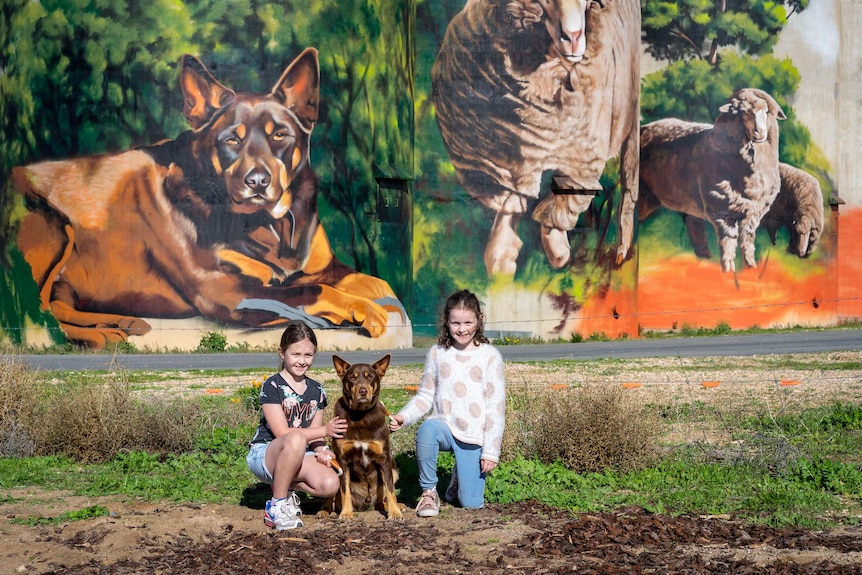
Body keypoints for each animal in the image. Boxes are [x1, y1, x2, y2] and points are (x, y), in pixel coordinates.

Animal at [12, 47, 404, 348]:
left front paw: (373, 293)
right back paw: (102, 335)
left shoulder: (320, 266)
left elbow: (365, 280)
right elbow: (316, 291)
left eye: (279, 135)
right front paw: (364, 309)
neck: (270, 226)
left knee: (59, 305)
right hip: (55, 229)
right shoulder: (228, 291)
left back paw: (120, 322)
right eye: (232, 139)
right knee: (46, 311)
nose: (257, 180)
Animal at [322, 356, 406, 520]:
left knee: (383, 498)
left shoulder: (384, 458)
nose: (362, 391)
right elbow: (345, 491)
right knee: (331, 497)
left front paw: (395, 513)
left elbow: (390, 490)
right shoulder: (342, 460)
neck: (360, 415)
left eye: (370, 377)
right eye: (352, 378)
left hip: (394, 469)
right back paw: (323, 511)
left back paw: (396, 506)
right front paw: (346, 514)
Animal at [432, 0, 640, 276]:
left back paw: (620, 250)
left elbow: (568, 196)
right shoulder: (498, 156)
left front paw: (557, 251)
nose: (573, 37)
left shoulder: (584, 153)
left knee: (628, 186)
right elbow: (508, 199)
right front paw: (500, 263)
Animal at [640, 88, 788, 272]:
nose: (759, 132)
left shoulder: (753, 213)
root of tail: (645, 127)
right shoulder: (722, 212)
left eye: (767, 112)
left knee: (695, 230)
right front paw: (728, 271)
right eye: (743, 112)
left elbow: (747, 242)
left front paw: (750, 268)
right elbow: (729, 243)